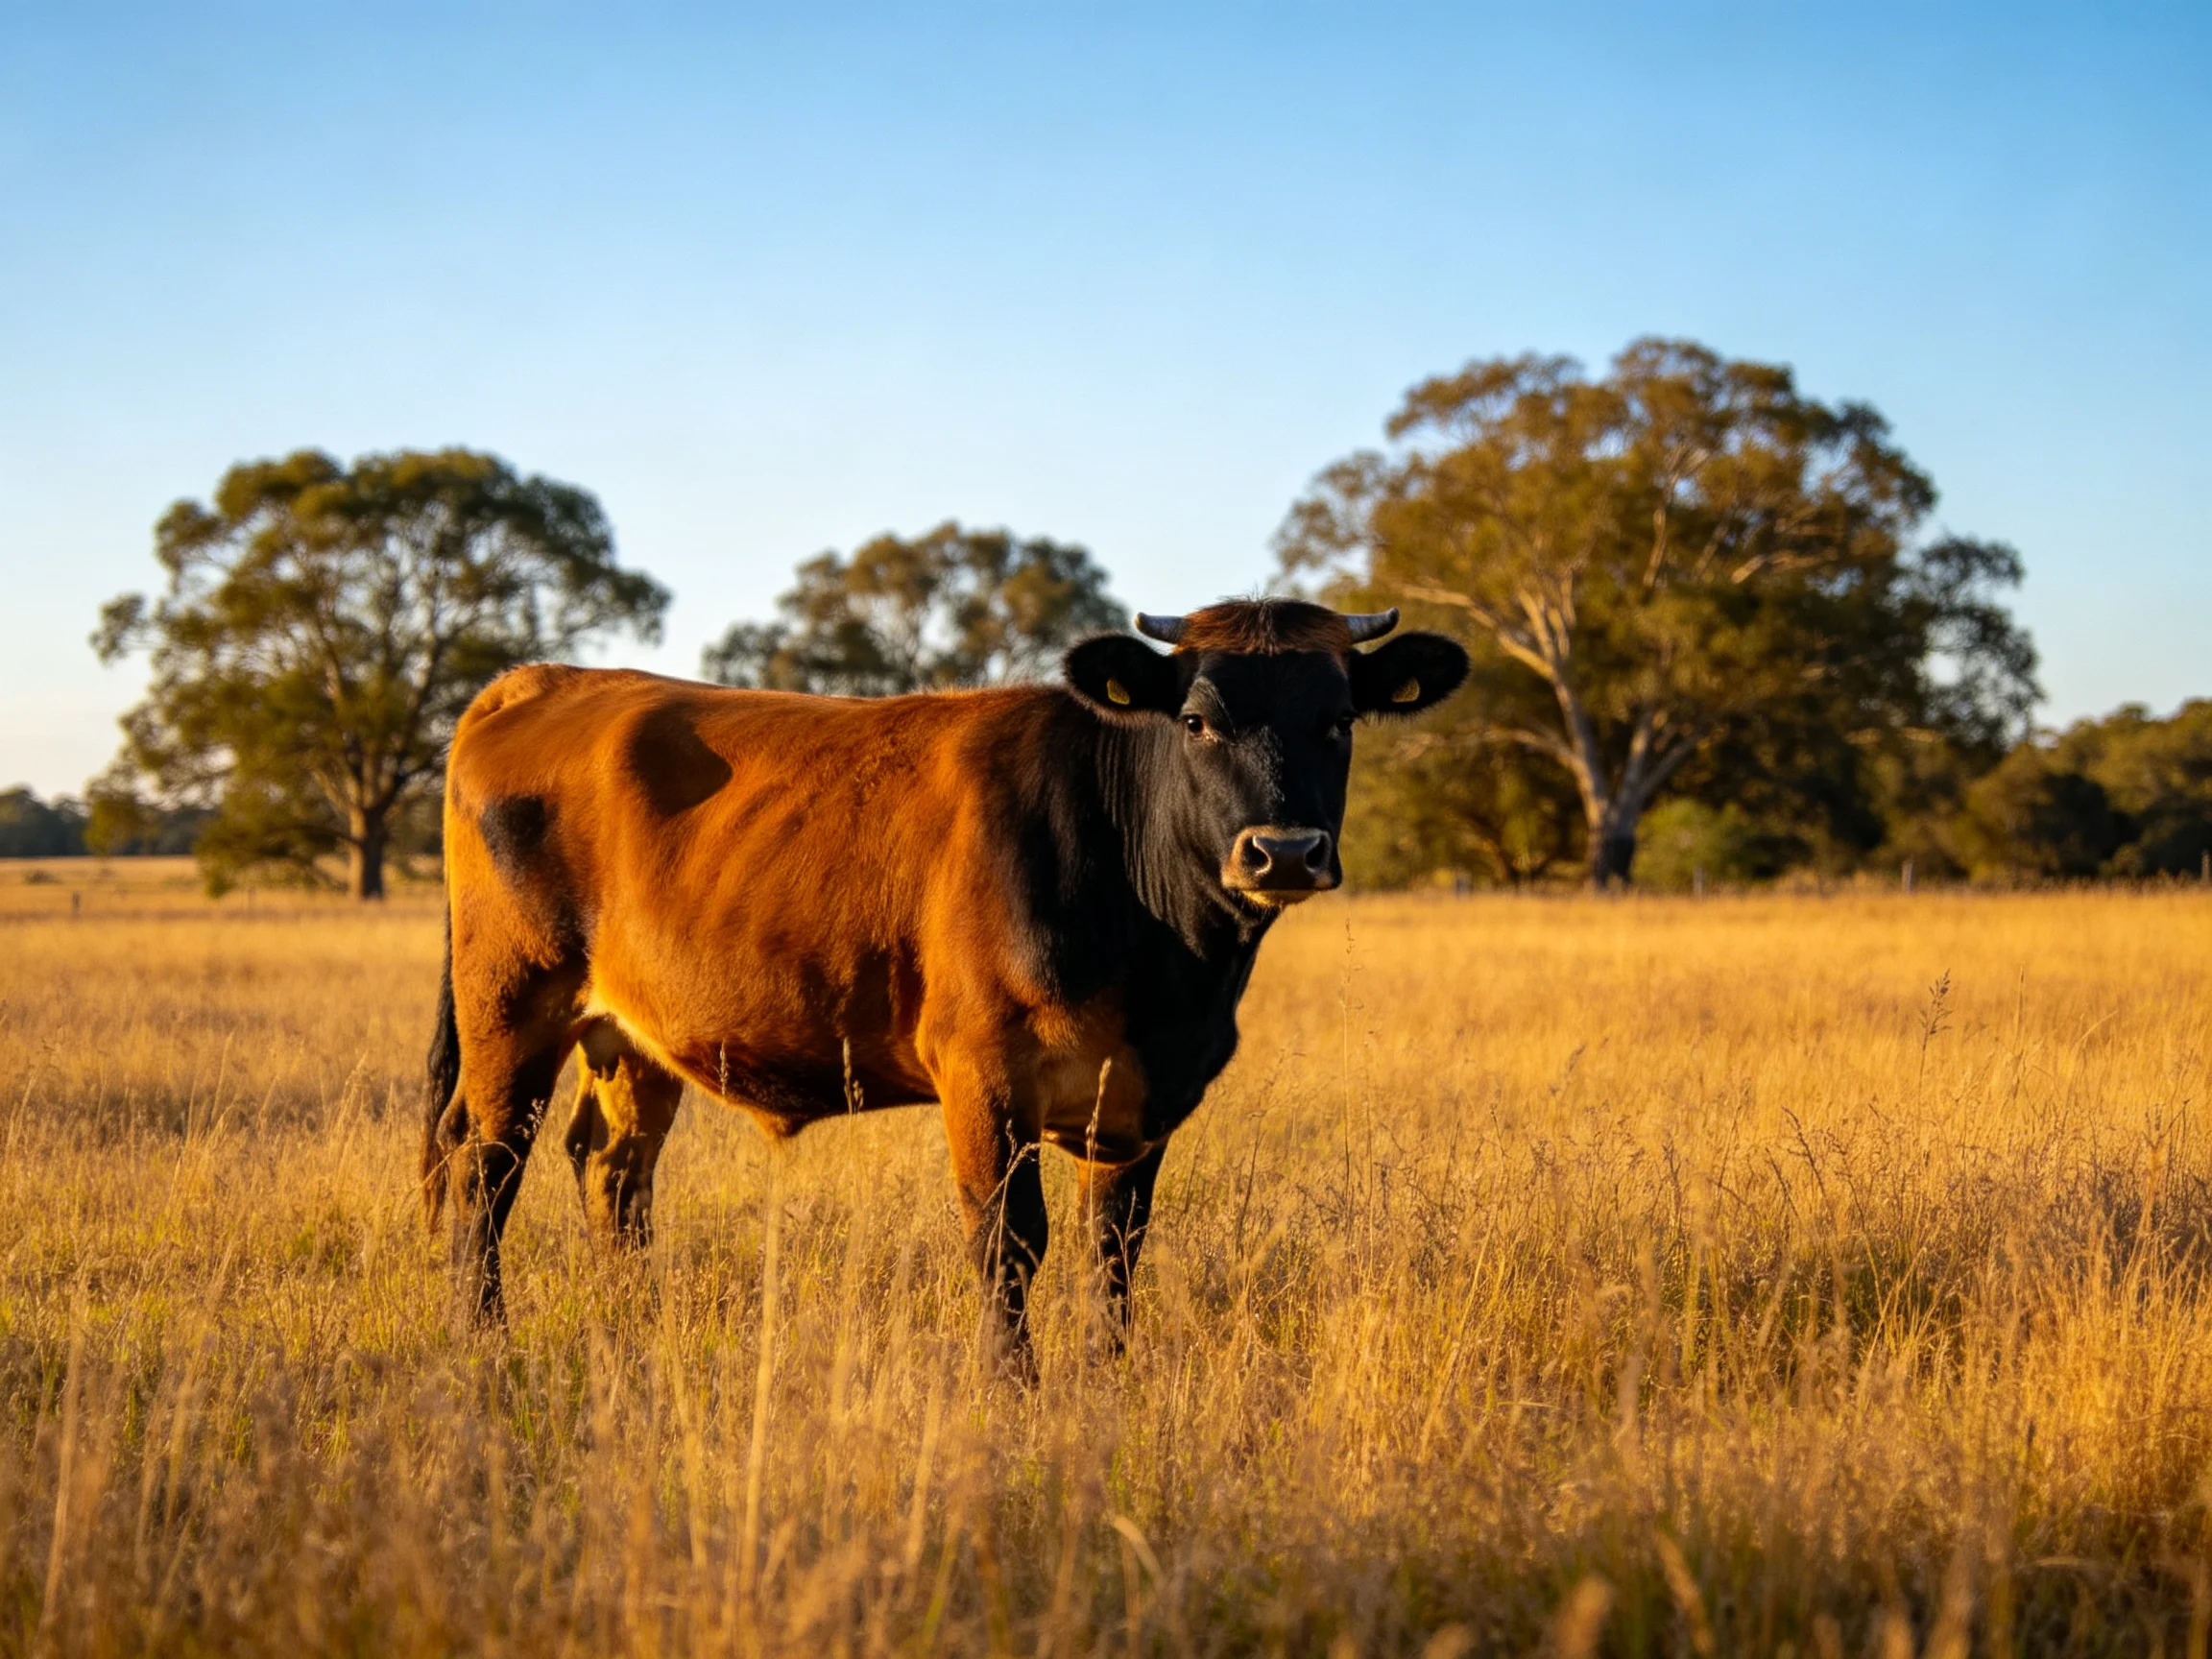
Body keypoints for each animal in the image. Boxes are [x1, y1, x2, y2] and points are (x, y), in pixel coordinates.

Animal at [420, 598, 1469, 1372]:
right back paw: (483, 1337)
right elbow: (1009, 1241)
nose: (1284, 851)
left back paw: (631, 1324)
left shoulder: (1138, 1101)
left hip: (631, 1036)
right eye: (1198, 720)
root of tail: (549, 679)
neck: (1168, 973)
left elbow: (1114, 1247)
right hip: (511, 1006)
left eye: (1338, 720)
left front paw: (1107, 1381)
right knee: (485, 1165)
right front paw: (1012, 1388)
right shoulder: (983, 1075)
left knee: (613, 1168)